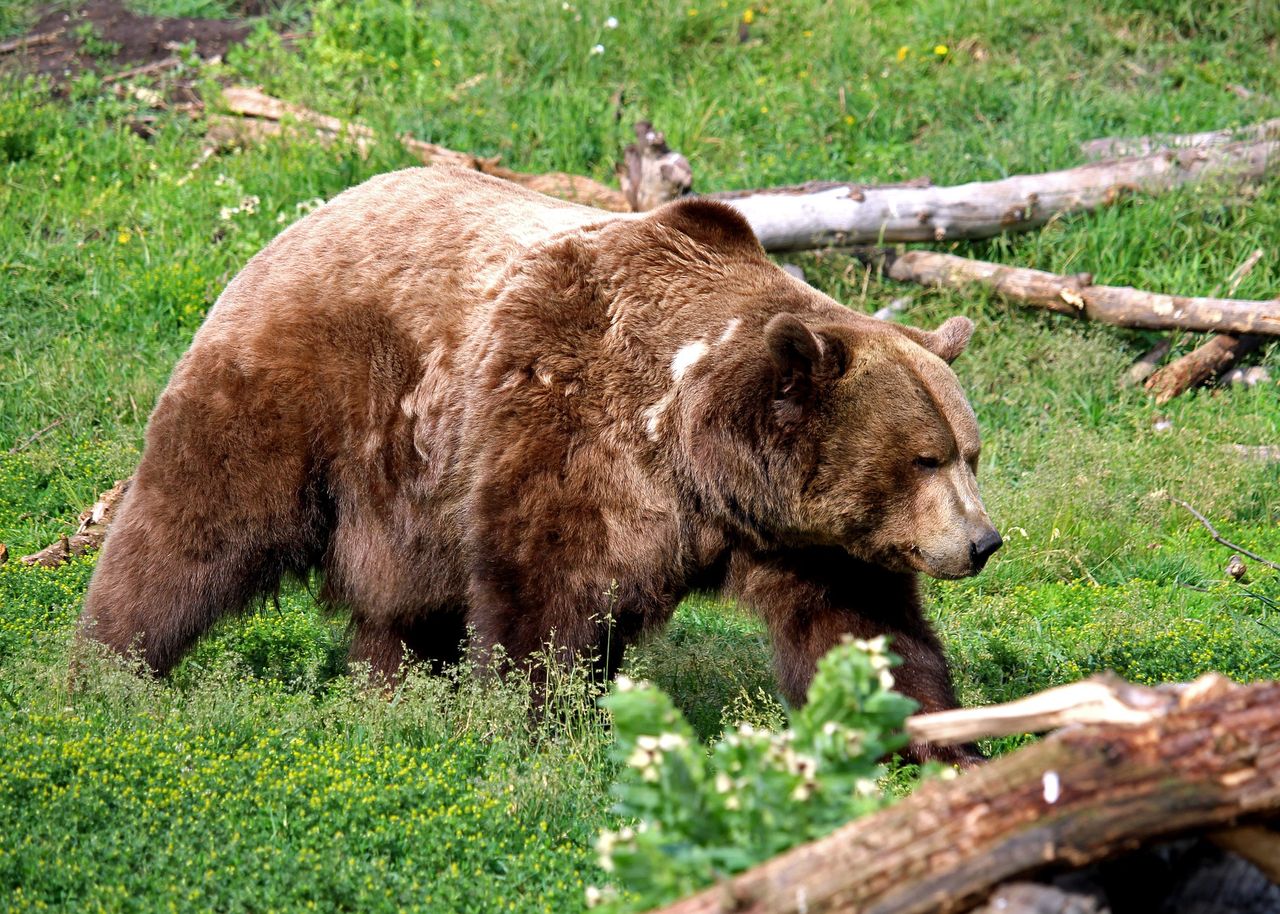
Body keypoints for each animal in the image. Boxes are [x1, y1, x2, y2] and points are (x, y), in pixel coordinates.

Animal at [77, 165, 998, 762]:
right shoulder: (572, 427)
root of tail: (295, 223)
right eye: (924, 457)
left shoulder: (805, 538)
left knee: (403, 610)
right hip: (307, 389)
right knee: (193, 529)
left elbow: (862, 628)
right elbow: (549, 595)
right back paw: (106, 668)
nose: (984, 543)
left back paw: (394, 697)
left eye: (970, 453)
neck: (697, 453)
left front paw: (934, 742)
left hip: (409, 492)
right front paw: (540, 734)